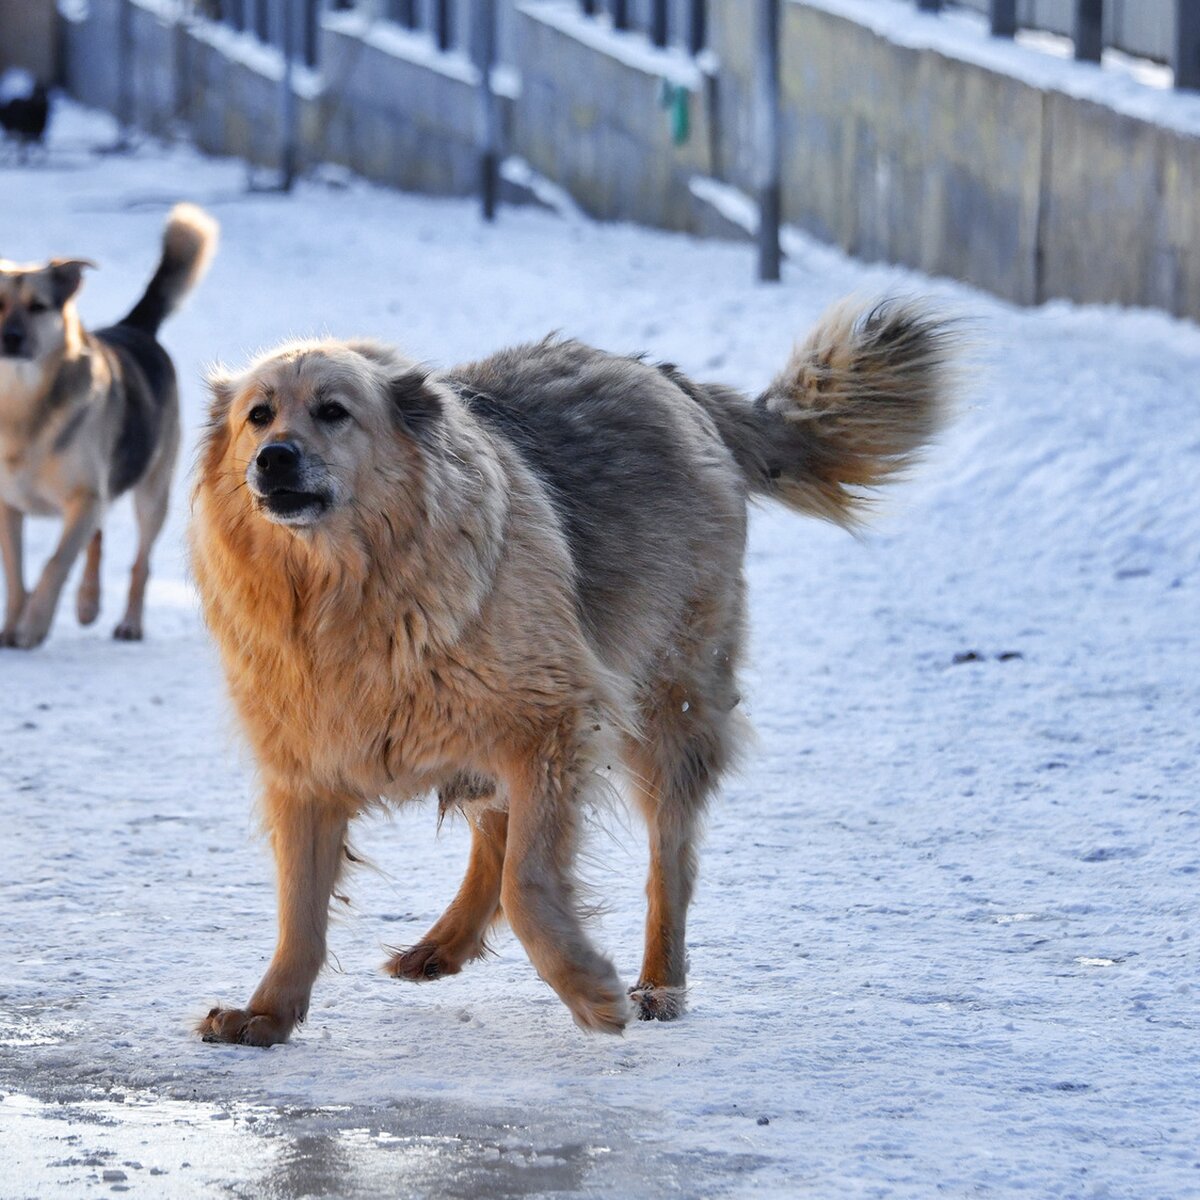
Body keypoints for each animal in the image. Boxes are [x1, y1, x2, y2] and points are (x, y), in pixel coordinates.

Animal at [189, 297, 955, 1041]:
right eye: (258, 415)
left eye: (333, 411)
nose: (273, 459)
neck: (337, 597)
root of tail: (665, 376)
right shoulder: (307, 766)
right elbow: (300, 906)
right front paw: (269, 1013)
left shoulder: (552, 722)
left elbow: (528, 882)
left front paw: (590, 992)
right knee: (494, 830)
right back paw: (445, 944)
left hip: (666, 708)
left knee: (666, 861)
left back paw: (659, 983)